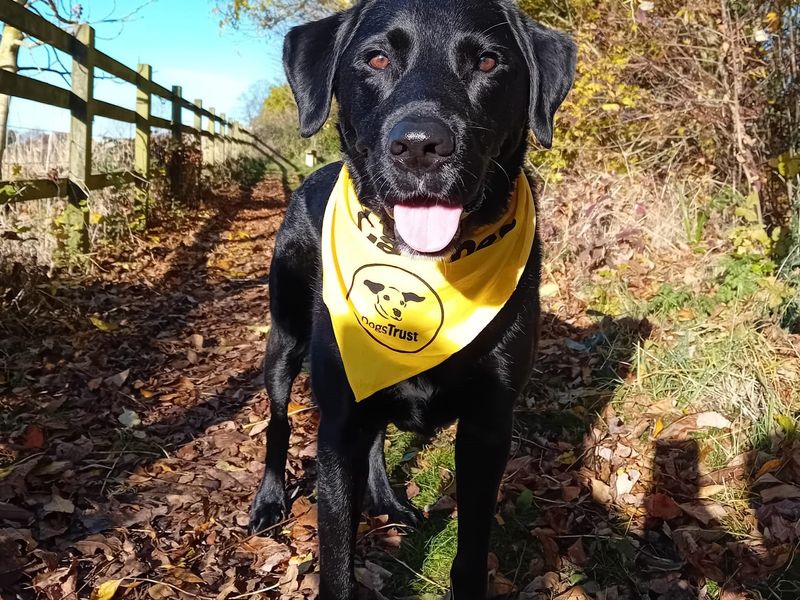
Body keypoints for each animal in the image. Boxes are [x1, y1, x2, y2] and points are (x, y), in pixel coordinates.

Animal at [250, 2, 576, 596]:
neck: (430, 266)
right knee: (279, 419)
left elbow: (470, 552)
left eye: (488, 61)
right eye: (376, 58)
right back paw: (268, 501)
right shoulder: (337, 427)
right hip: (284, 340)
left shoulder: (488, 427)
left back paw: (385, 499)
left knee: (377, 435)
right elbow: (337, 562)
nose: (421, 145)